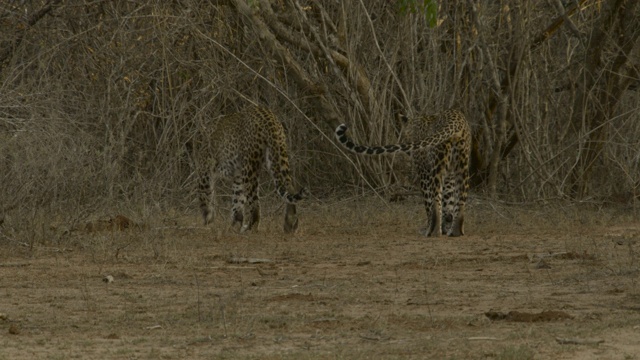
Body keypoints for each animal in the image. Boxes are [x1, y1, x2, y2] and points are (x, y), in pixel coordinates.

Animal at [190, 105, 304, 233]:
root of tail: (269, 118)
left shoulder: (204, 172)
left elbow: (205, 197)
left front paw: (208, 220)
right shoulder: (237, 176)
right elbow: (237, 200)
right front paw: (235, 223)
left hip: (250, 167)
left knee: (255, 203)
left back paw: (250, 229)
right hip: (277, 156)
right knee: (289, 188)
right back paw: (290, 224)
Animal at [336, 109, 470, 239]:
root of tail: (456, 120)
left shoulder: (424, 171)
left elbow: (429, 203)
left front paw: (432, 227)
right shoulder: (449, 176)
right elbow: (448, 202)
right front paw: (446, 226)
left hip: (437, 168)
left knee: (436, 200)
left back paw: (433, 231)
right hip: (462, 168)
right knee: (461, 200)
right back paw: (456, 231)